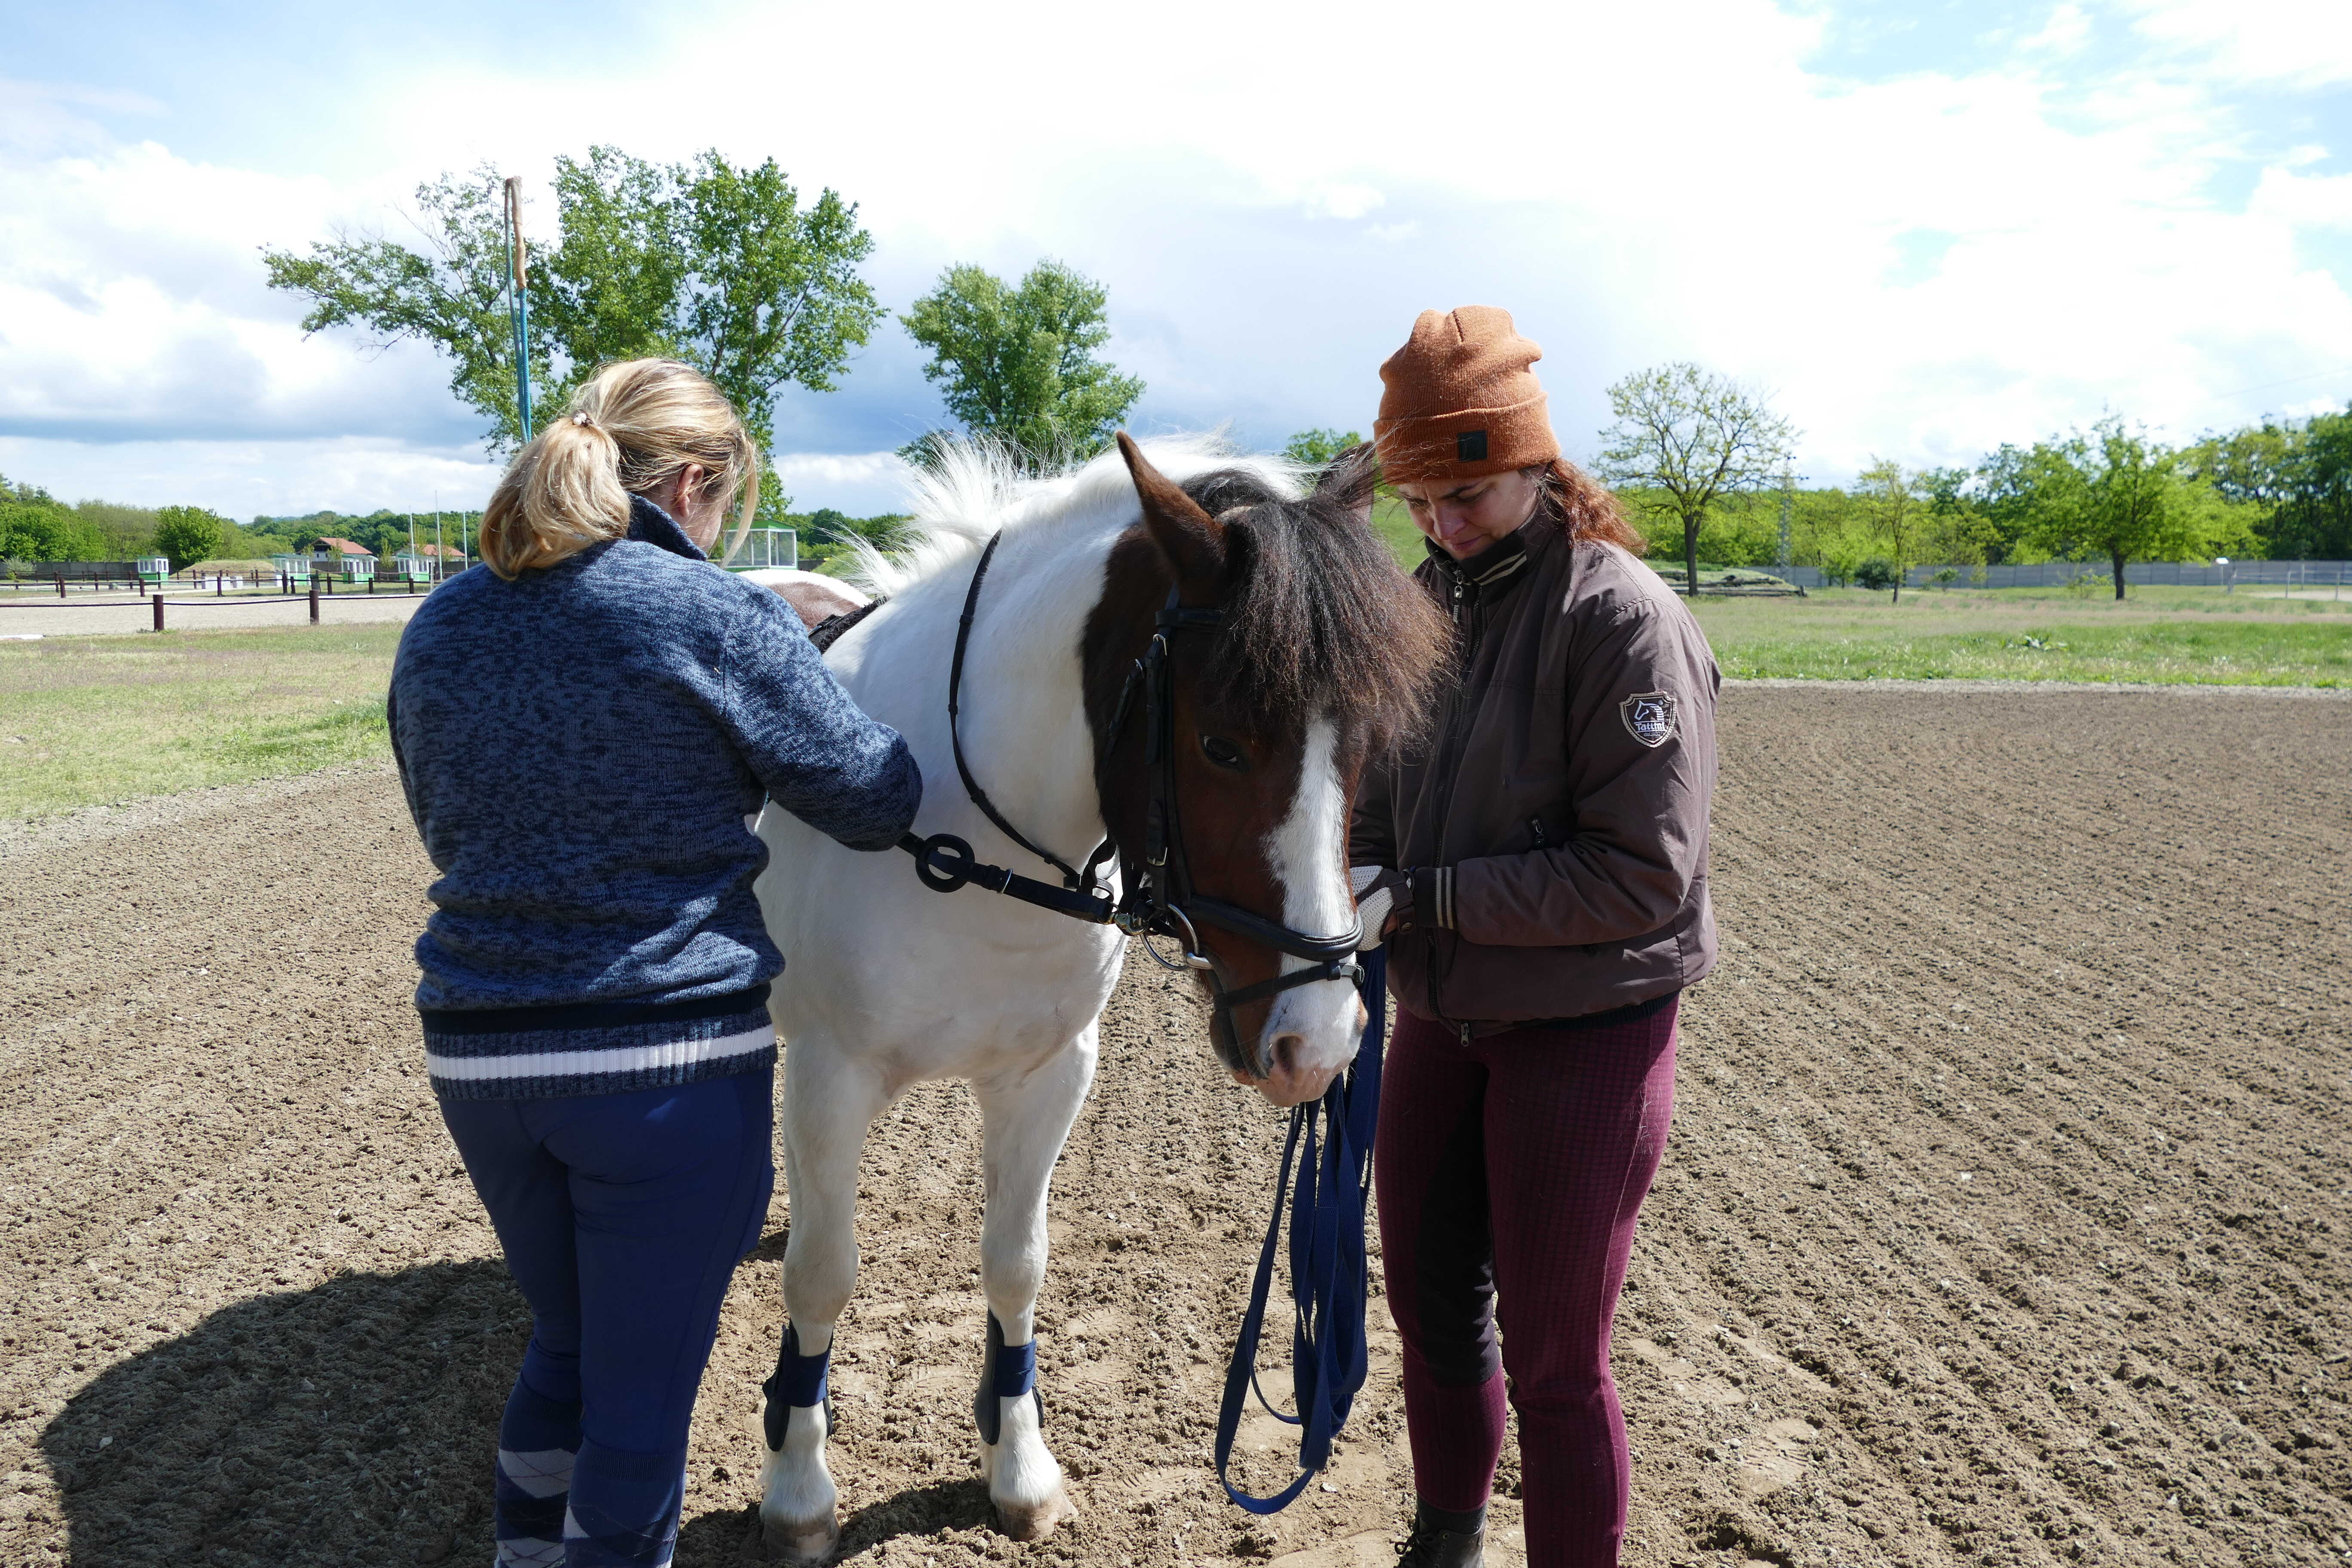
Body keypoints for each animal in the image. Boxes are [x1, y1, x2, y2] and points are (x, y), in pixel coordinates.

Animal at [747, 434, 1446, 1561]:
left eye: (1368, 748)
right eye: (1220, 743)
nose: (1321, 1043)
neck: (948, 828)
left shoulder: (1047, 1074)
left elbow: (1016, 1263)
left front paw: (1018, 1461)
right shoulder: (830, 1076)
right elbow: (823, 1273)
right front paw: (800, 1487)